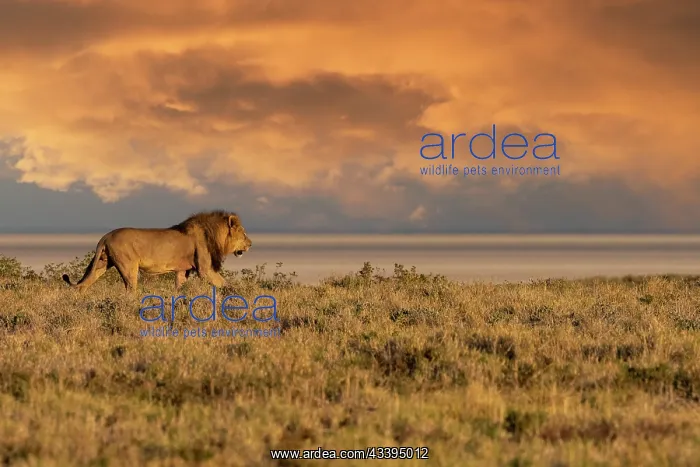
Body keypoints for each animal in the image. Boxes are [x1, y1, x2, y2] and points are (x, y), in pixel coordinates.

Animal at [62, 210, 252, 293]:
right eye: (243, 233)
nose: (251, 244)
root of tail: (106, 236)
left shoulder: (182, 270)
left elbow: (180, 288)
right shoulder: (205, 270)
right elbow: (226, 284)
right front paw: (238, 294)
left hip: (102, 263)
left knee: (84, 285)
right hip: (128, 266)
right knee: (130, 290)